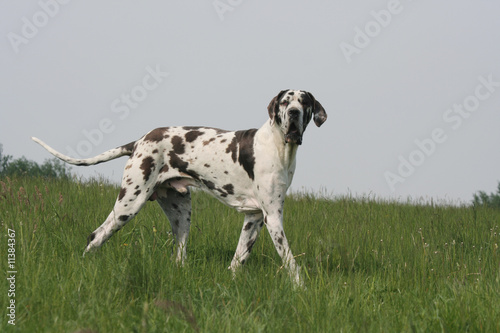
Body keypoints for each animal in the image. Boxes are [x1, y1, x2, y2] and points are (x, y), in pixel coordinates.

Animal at [32, 89, 328, 286]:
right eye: (285, 101)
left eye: (304, 102)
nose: (294, 113)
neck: (278, 146)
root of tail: (139, 140)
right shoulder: (273, 218)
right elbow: (290, 260)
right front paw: (301, 288)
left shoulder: (253, 218)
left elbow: (238, 259)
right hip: (129, 204)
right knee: (96, 236)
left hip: (181, 214)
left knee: (179, 255)